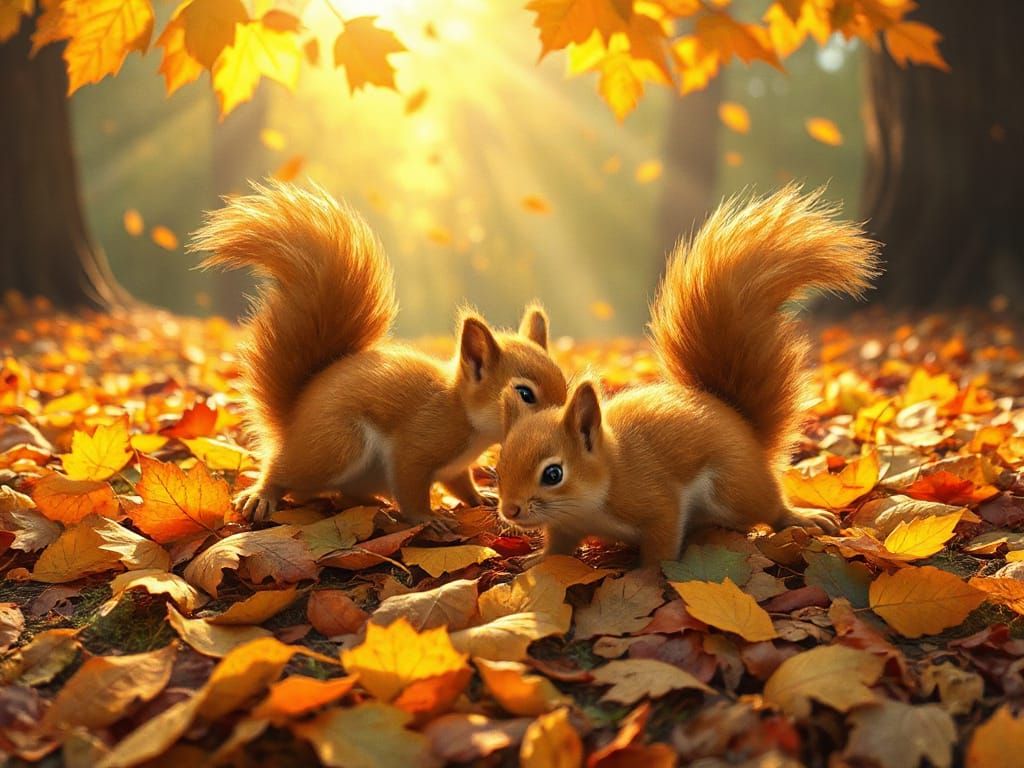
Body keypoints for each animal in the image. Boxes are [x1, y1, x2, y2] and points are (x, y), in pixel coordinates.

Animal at [191, 181, 567, 526]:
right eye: (524, 394)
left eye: (564, 383)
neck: (463, 414)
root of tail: (292, 420)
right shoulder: (418, 444)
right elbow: (410, 485)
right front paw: (429, 518)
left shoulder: (456, 468)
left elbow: (461, 484)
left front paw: (481, 498)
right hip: (335, 445)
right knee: (283, 471)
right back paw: (262, 496)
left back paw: (375, 506)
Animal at [495, 185, 880, 567]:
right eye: (498, 467)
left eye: (553, 474)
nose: (510, 510)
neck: (610, 470)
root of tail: (747, 432)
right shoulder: (566, 526)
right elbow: (558, 547)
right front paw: (536, 561)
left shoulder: (656, 500)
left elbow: (662, 544)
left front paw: (648, 576)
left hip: (735, 490)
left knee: (769, 508)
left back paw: (800, 517)